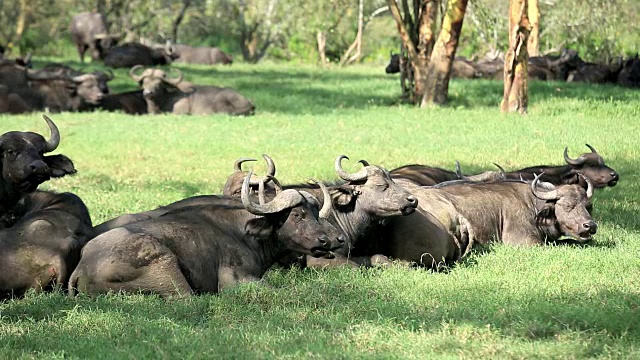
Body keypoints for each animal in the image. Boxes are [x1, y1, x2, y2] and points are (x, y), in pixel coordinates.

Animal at [69, 172, 344, 298]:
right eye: (297, 215)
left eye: (315, 212)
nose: (328, 240)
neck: (245, 233)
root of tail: (82, 266)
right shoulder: (234, 281)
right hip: (168, 273)